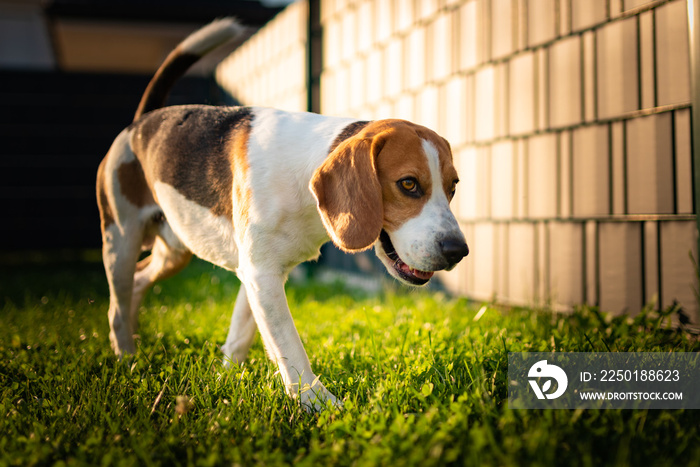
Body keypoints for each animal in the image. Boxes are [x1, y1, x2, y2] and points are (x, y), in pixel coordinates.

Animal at [95, 17, 468, 410]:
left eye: (453, 186)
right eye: (408, 184)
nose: (458, 251)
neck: (305, 180)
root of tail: (139, 123)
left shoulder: (256, 273)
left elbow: (243, 335)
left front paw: (227, 379)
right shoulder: (261, 273)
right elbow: (290, 346)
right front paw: (319, 403)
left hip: (174, 250)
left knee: (138, 281)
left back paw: (136, 347)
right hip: (120, 239)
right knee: (116, 305)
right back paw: (126, 358)